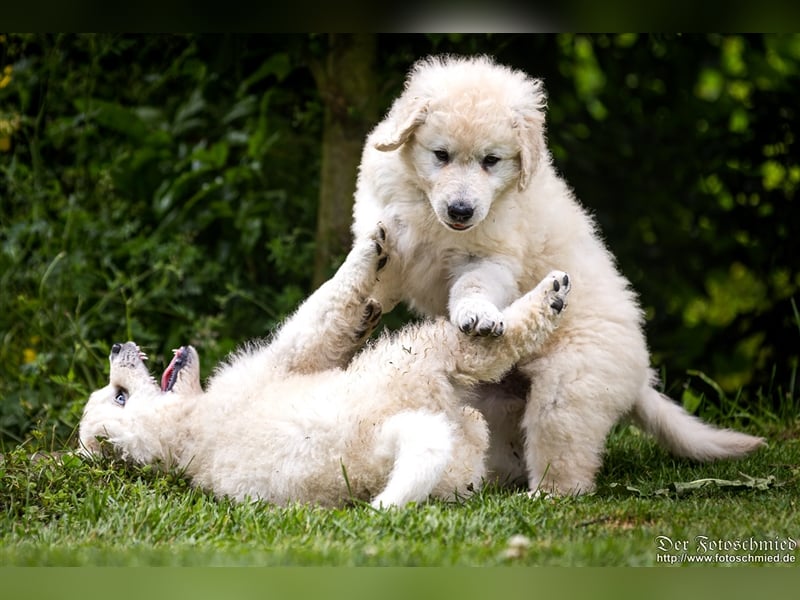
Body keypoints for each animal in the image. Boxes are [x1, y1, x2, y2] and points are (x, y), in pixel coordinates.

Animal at [79, 225, 568, 506]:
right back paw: (551, 294)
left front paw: (365, 316)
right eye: (120, 397)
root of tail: (377, 448)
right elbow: (327, 304)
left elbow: (338, 321)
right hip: (416, 359)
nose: (117, 346)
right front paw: (369, 249)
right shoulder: (289, 355)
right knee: (484, 352)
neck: (185, 432)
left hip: (449, 465)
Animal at [352, 55, 764, 496]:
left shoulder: (492, 256)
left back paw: (545, 495)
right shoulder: (389, 227)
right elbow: (377, 265)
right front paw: (360, 307)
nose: (461, 211)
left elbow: (473, 285)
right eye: (440, 155)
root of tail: (639, 375)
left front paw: (478, 314)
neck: (431, 212)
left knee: (567, 460)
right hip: (492, 403)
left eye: (491, 161)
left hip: (567, 389)